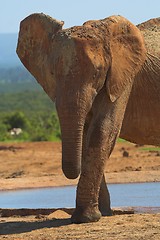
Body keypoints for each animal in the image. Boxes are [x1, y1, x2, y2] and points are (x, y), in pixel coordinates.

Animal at [16, 13, 160, 223]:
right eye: (52, 73)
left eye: (97, 72)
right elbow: (85, 135)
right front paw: (100, 214)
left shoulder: (123, 78)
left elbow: (103, 129)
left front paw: (87, 218)